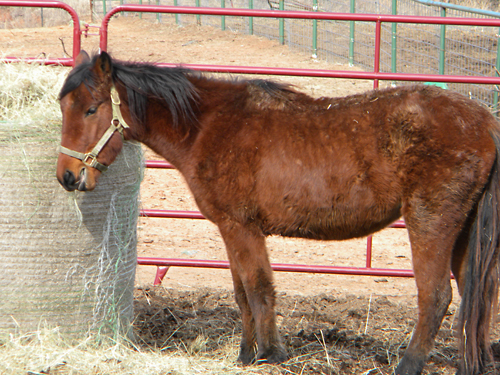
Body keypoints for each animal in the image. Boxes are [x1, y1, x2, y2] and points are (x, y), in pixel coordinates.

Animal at [56, 50, 498, 375]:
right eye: (65, 109)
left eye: (91, 110)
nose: (67, 176)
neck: (207, 126)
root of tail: (485, 122)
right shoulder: (230, 229)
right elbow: (241, 292)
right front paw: (246, 353)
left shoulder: (242, 227)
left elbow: (258, 287)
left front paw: (268, 353)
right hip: (465, 232)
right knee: (479, 293)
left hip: (431, 223)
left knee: (436, 296)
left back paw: (408, 365)